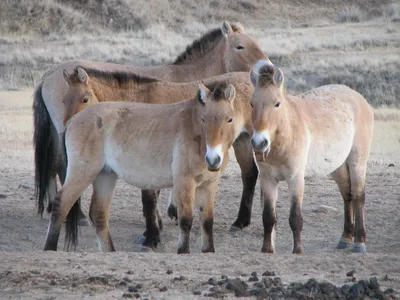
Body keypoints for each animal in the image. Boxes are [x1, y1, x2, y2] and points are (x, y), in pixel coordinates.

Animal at [43, 82, 250, 253]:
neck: (196, 134)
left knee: (99, 214)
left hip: (105, 176)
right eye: (204, 119)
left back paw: (111, 252)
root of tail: (72, 121)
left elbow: (207, 222)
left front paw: (208, 252)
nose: (213, 159)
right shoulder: (185, 183)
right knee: (61, 205)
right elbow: (186, 221)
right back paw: (49, 248)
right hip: (82, 173)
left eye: (229, 119)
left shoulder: (209, 185)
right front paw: (183, 252)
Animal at [248, 61, 374, 253]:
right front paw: (267, 250)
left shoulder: (295, 178)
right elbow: (268, 216)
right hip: (338, 167)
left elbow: (295, 217)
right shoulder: (268, 179)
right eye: (252, 104)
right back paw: (345, 239)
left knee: (359, 196)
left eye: (277, 104)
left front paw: (298, 251)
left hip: (357, 163)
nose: (259, 142)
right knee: (347, 194)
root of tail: (359, 98)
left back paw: (359, 243)